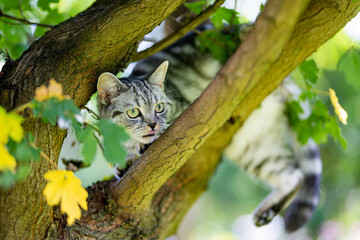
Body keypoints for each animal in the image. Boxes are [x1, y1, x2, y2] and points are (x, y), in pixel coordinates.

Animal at [97, 26, 322, 232]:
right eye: (133, 112)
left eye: (159, 108)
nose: (153, 124)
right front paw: (125, 162)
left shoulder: (186, 114)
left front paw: (141, 148)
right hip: (254, 150)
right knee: (294, 175)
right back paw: (267, 212)